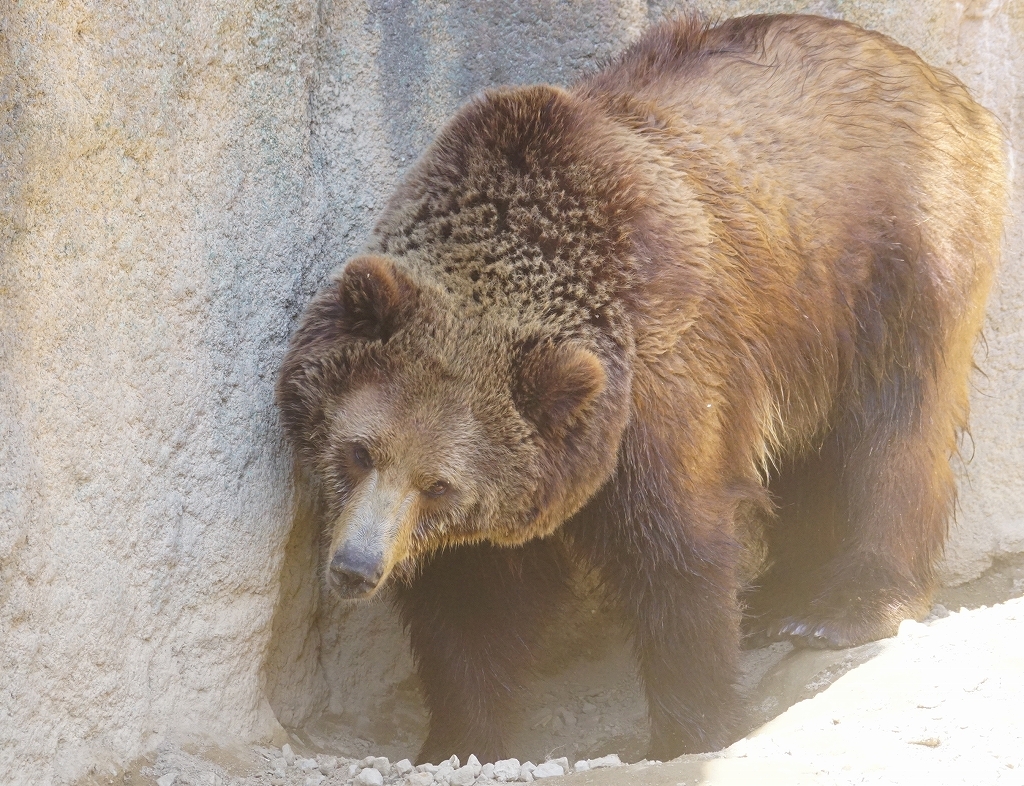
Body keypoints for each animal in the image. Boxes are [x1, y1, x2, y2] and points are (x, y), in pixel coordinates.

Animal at [276, 10, 1003, 761]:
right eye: (359, 450)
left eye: (439, 483)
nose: (355, 566)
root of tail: (943, 85)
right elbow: (470, 602)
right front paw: (458, 735)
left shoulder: (659, 393)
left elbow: (676, 553)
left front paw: (697, 724)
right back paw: (784, 595)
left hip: (894, 260)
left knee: (895, 428)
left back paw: (844, 606)